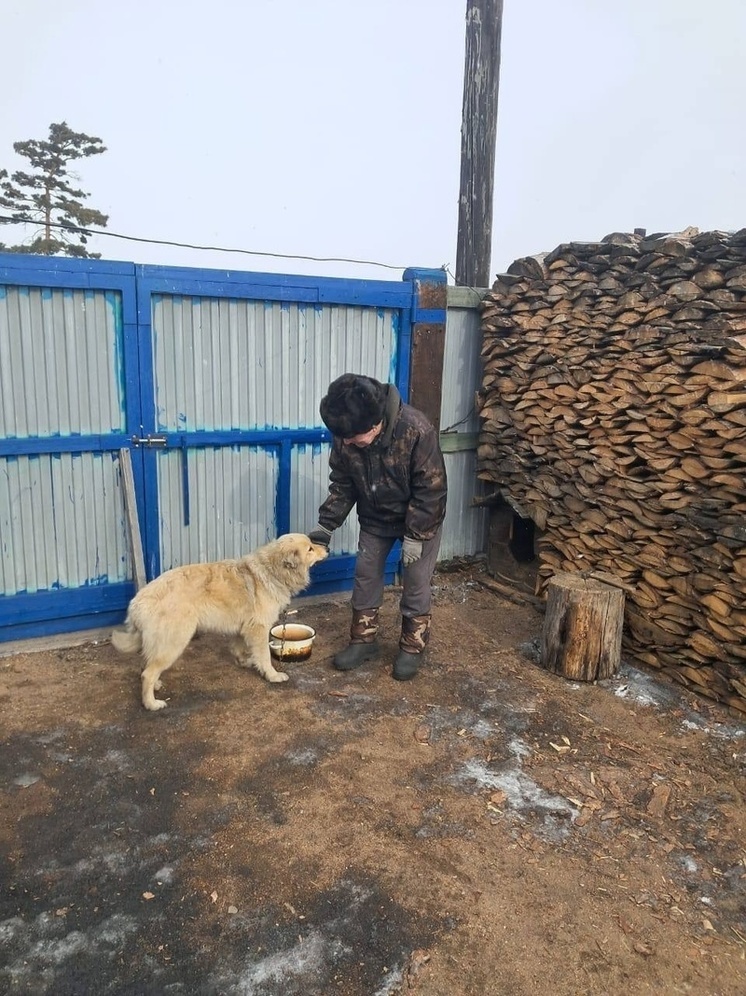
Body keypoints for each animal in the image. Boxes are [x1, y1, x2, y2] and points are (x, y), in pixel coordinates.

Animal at [109, 532, 326, 712]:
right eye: (310, 548)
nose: (327, 548)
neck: (272, 570)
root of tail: (138, 601)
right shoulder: (259, 628)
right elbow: (264, 655)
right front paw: (272, 675)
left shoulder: (244, 627)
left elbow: (240, 648)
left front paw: (245, 662)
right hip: (174, 643)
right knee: (147, 673)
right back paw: (151, 703)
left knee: (146, 666)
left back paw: (156, 686)